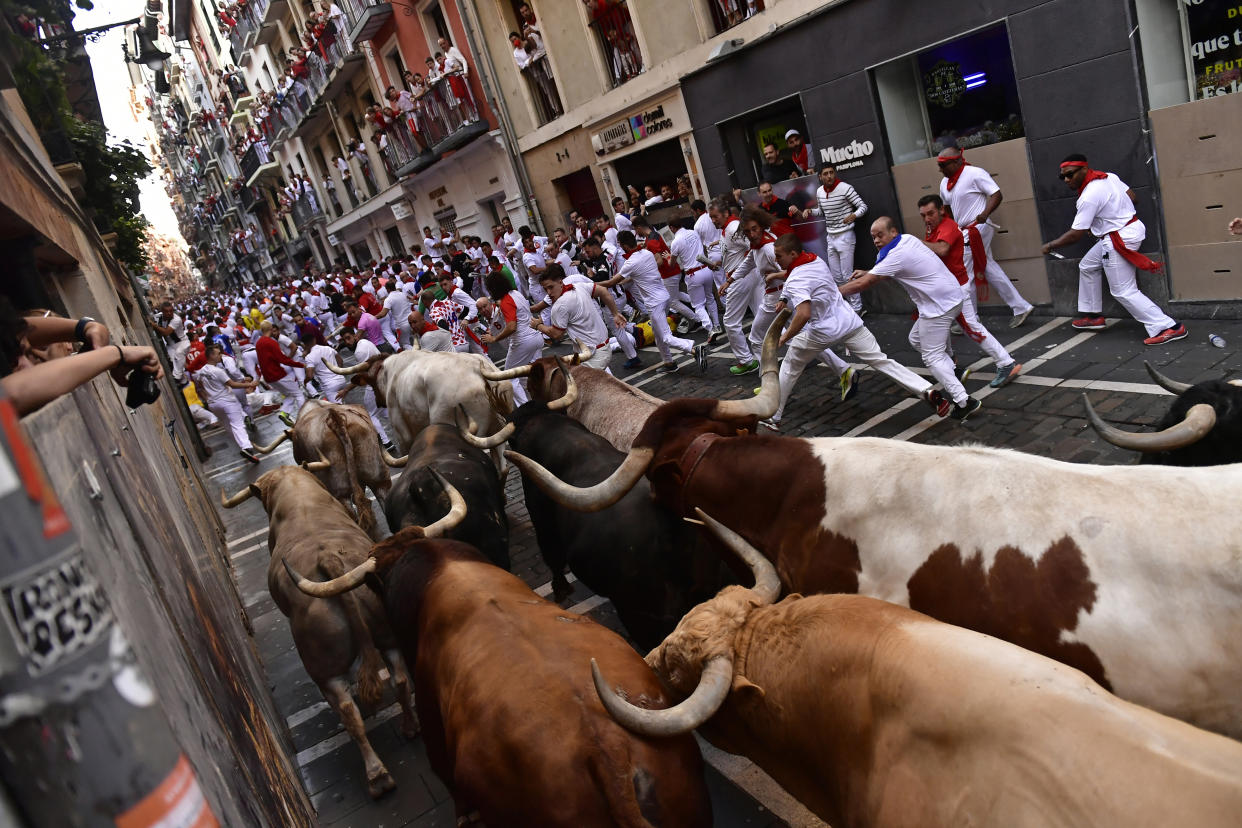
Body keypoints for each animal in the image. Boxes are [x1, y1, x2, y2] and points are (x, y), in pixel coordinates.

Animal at [222, 466, 417, 794]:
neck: (297, 491)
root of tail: (329, 559)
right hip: (386, 634)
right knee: (400, 679)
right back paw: (410, 727)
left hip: (323, 669)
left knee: (348, 712)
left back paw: (377, 775)